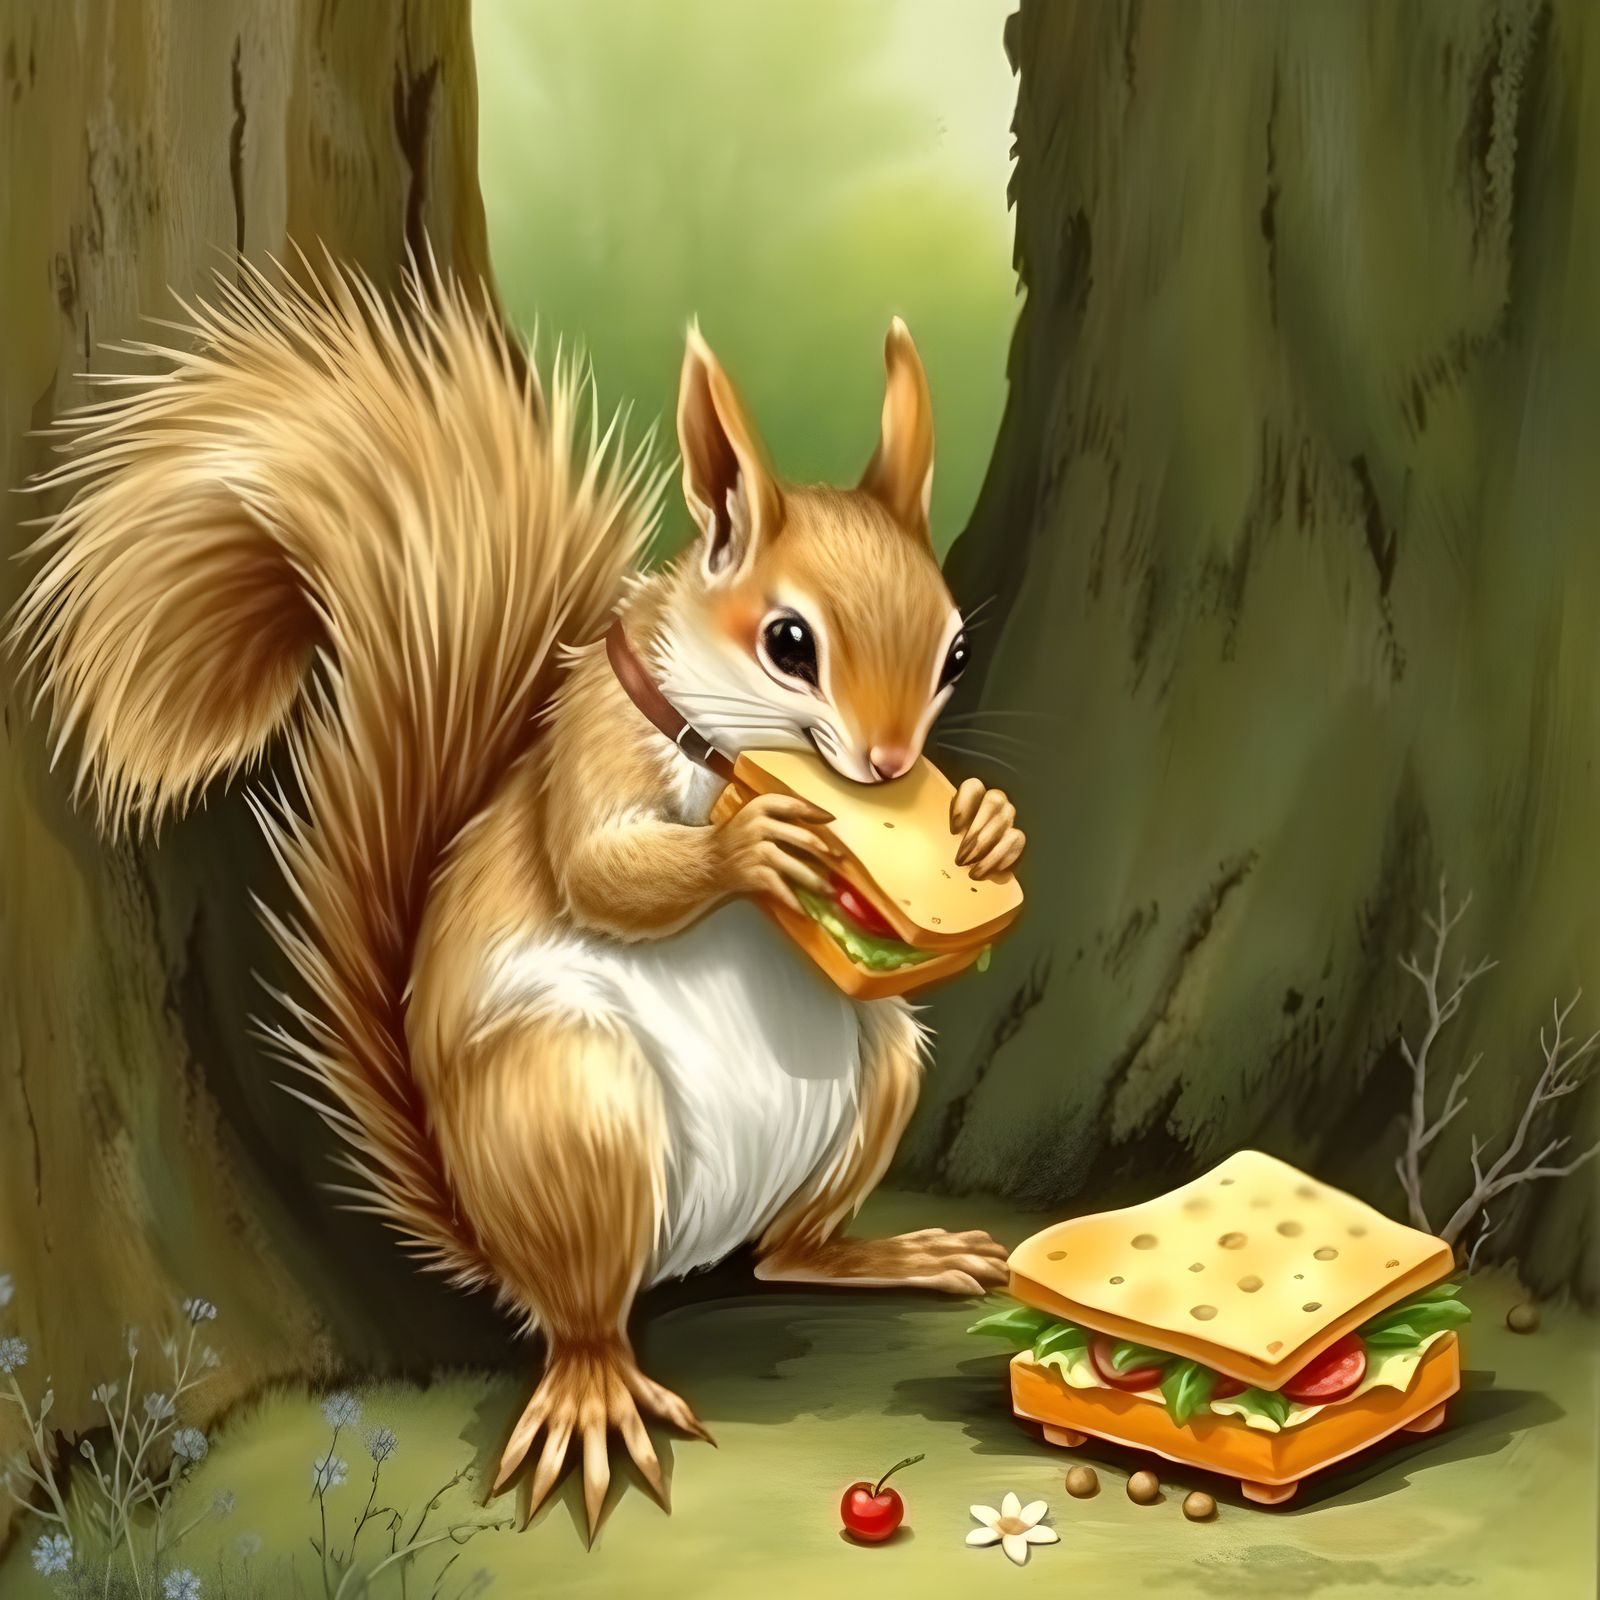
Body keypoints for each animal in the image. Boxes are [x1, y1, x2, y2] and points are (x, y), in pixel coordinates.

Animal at [12, 260, 1025, 1534]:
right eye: (790, 642)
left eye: (953, 652)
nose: (890, 769)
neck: (725, 740)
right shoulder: (587, 756)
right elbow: (596, 869)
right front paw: (755, 844)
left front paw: (984, 823)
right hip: (569, 1103)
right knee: (584, 1315)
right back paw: (594, 1391)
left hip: (876, 1064)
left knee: (783, 1254)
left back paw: (876, 1256)